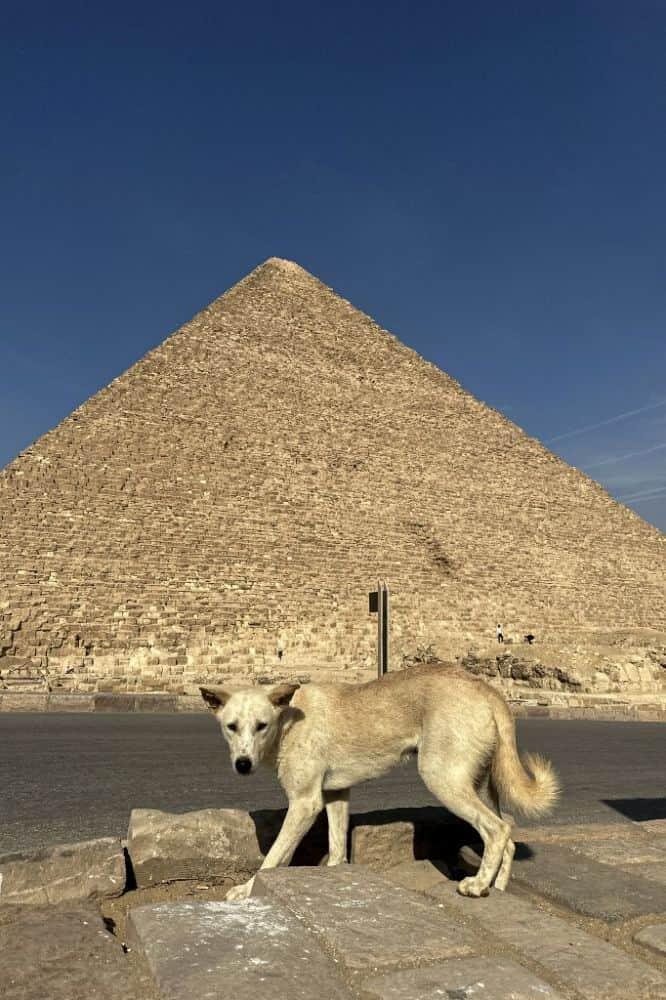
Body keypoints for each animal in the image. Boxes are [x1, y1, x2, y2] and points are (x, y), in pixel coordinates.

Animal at [200, 668, 556, 904]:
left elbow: (273, 857)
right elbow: (337, 848)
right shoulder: (335, 794)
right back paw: (497, 888)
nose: (242, 764)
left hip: (442, 778)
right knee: (508, 834)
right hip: (479, 784)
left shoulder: (304, 803)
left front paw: (247, 890)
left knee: (497, 830)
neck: (288, 720)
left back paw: (478, 885)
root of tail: (483, 686)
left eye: (261, 726)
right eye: (231, 727)